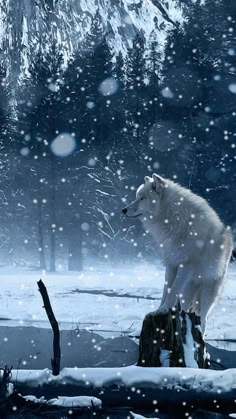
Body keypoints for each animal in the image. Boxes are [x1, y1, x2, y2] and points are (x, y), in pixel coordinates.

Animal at [122, 174, 233, 334]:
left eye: (142, 198)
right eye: (137, 197)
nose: (123, 210)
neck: (174, 219)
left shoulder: (186, 266)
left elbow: (173, 291)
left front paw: (162, 310)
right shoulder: (171, 264)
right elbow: (166, 291)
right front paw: (159, 310)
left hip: (207, 293)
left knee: (204, 319)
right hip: (188, 291)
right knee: (186, 309)